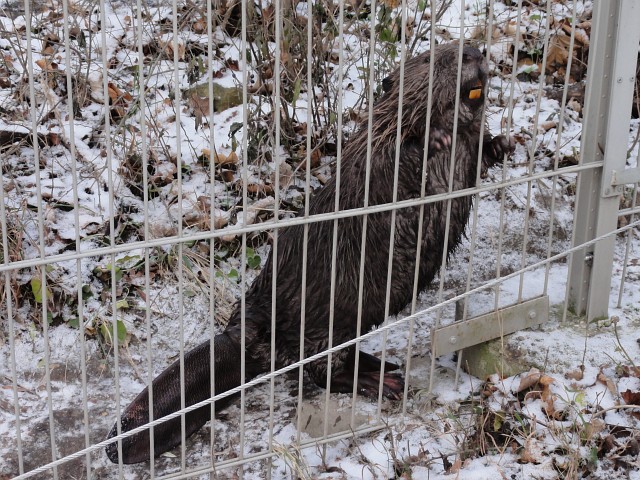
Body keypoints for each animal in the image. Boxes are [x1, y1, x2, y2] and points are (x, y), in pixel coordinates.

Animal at [106, 43, 514, 464]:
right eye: (433, 58)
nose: (475, 52)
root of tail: (244, 337)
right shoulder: (370, 157)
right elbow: (390, 164)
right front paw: (433, 139)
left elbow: (478, 157)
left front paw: (504, 143)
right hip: (322, 323)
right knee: (321, 373)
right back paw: (381, 381)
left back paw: (378, 362)